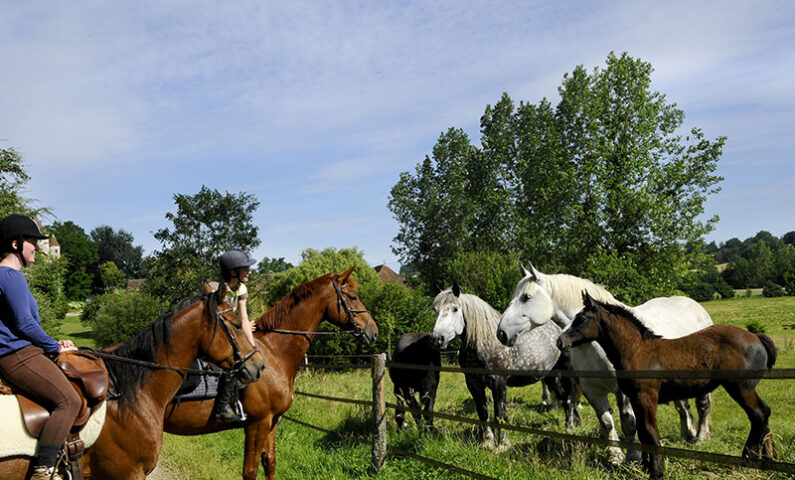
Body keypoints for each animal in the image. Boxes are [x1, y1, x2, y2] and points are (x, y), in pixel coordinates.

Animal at [163, 266, 378, 480]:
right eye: (352, 297)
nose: (373, 330)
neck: (273, 352)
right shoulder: (258, 423)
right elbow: (250, 471)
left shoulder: (272, 421)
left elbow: (270, 462)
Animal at [430, 284, 580, 452]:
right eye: (435, 310)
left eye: (455, 309)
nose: (437, 339)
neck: (483, 343)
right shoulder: (474, 384)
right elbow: (482, 413)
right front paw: (487, 443)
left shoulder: (499, 382)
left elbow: (500, 414)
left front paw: (502, 446)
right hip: (551, 376)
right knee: (564, 397)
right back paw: (570, 424)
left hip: (565, 373)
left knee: (569, 397)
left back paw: (570, 426)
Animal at [496, 262, 714, 463]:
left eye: (526, 297)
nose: (501, 333)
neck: (598, 342)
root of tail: (697, 308)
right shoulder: (592, 390)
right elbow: (607, 422)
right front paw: (615, 456)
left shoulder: (623, 391)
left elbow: (628, 423)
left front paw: (633, 457)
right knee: (682, 406)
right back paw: (686, 435)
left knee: (703, 404)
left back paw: (701, 437)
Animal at [558, 292, 776, 479]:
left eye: (581, 319)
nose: (560, 341)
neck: (638, 350)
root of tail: (757, 336)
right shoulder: (634, 397)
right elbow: (643, 431)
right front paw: (646, 466)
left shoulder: (646, 397)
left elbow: (650, 432)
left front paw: (656, 471)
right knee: (764, 413)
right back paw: (769, 459)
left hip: (741, 388)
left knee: (758, 414)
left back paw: (749, 457)